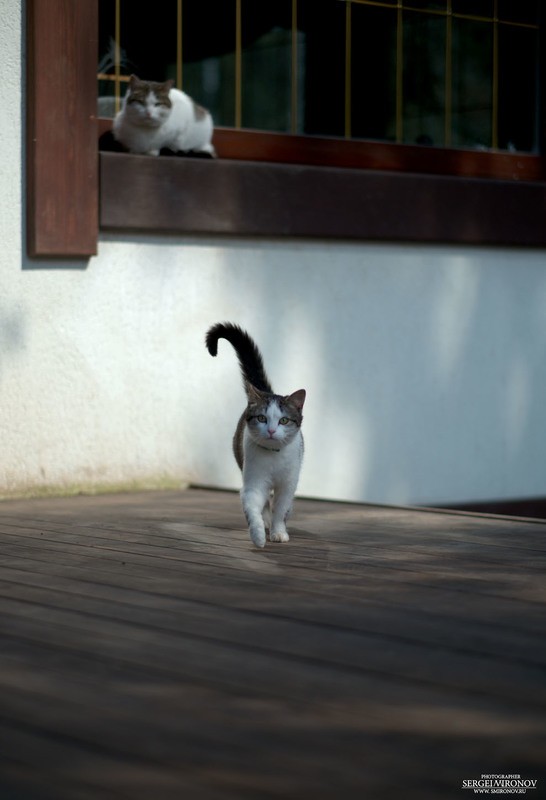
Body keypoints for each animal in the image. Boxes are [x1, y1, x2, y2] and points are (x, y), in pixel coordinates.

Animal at [205, 322, 306, 548]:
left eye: (283, 420)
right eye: (261, 418)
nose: (271, 430)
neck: (274, 457)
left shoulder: (288, 484)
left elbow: (281, 509)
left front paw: (279, 532)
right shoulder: (254, 482)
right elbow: (253, 508)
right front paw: (259, 534)